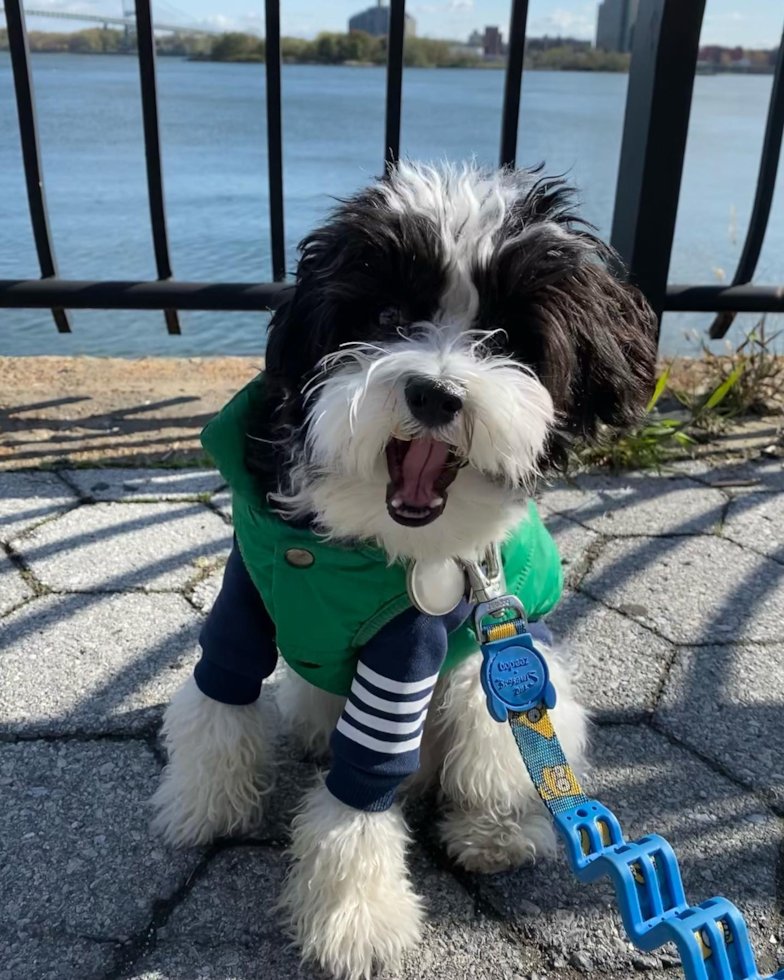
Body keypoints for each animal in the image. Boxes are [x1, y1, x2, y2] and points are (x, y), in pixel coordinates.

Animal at [153, 161, 656, 980]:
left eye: (505, 338)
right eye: (387, 316)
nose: (436, 393)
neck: (350, 538)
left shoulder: (409, 647)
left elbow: (364, 788)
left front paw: (355, 921)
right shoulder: (245, 598)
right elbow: (218, 697)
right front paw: (201, 805)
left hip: (500, 677)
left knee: (497, 757)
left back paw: (494, 834)